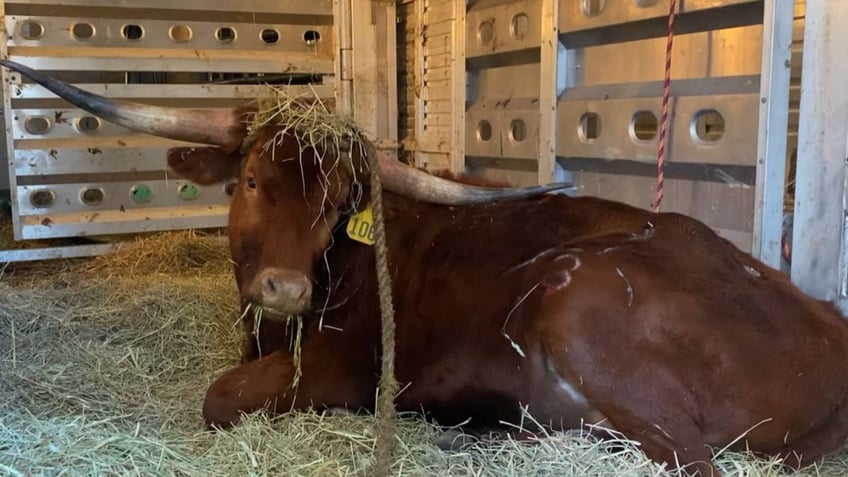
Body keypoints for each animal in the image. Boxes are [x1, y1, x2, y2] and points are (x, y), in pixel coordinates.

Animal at [4, 59, 848, 476]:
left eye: (336, 203)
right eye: (248, 181)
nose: (287, 288)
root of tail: (821, 319)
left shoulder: (345, 370)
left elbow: (219, 397)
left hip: (581, 295)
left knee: (693, 461)